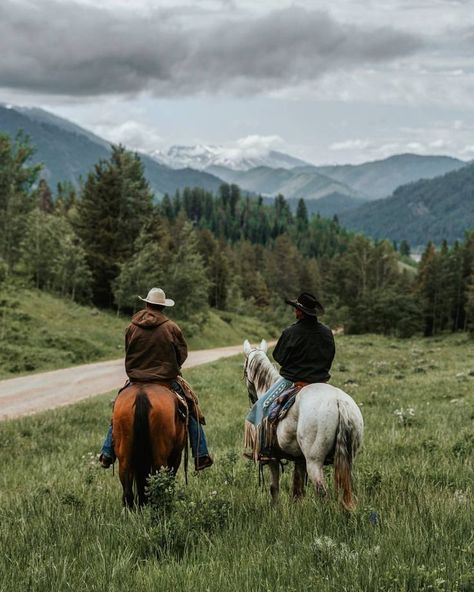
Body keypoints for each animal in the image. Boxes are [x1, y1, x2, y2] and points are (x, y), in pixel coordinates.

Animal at [243, 340, 364, 512]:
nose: (252, 397)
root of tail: (338, 401)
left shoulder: (273, 457)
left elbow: (274, 487)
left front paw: (275, 509)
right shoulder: (299, 459)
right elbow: (297, 488)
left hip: (314, 462)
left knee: (322, 492)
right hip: (347, 459)